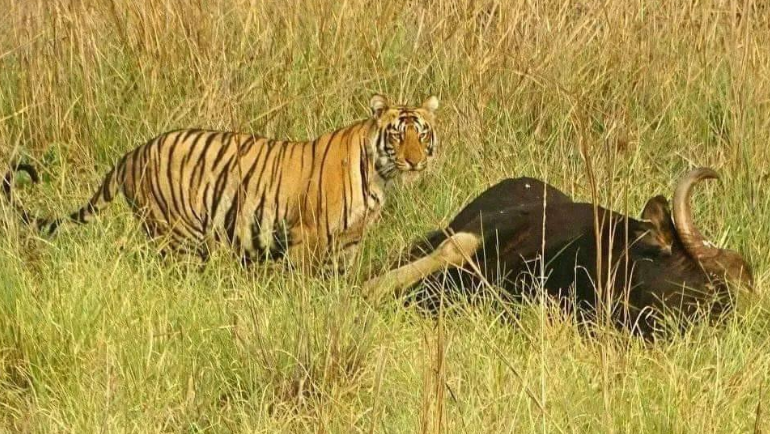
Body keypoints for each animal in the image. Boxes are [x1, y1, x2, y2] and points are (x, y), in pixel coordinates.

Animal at [2, 94, 439, 271]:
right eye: (398, 134)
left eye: (422, 134)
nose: (416, 161)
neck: (381, 177)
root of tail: (132, 153)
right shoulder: (308, 236)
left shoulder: (348, 244)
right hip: (177, 234)